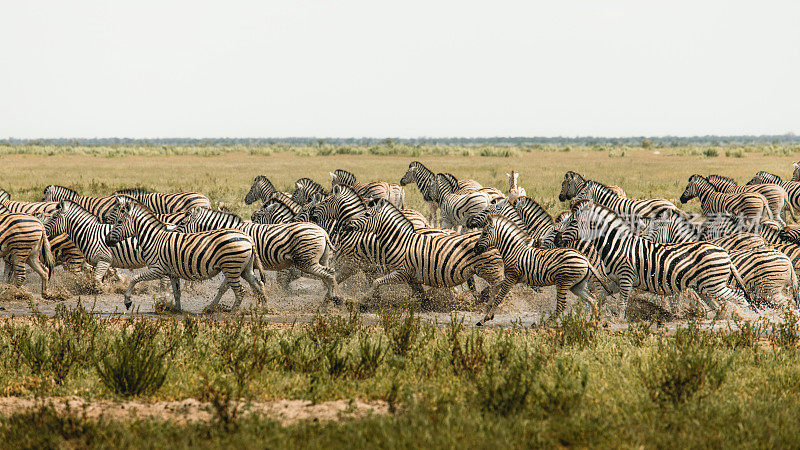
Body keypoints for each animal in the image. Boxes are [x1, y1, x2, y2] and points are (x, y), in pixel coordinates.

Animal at [103, 197, 264, 312]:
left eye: (119, 222)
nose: (106, 240)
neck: (153, 238)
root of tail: (248, 238)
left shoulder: (157, 270)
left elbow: (134, 279)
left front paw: (127, 301)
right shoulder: (172, 273)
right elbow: (177, 292)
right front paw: (177, 309)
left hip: (232, 267)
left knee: (241, 291)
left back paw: (234, 313)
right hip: (244, 269)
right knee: (258, 284)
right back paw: (264, 308)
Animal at [175, 206, 338, 300]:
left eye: (182, 223)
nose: (175, 234)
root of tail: (322, 231)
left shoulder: (233, 262)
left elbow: (224, 287)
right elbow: (228, 287)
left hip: (306, 261)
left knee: (328, 274)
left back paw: (333, 298)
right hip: (321, 259)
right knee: (328, 274)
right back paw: (330, 299)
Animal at [340, 200, 504, 306]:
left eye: (367, 214)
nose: (347, 224)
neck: (399, 241)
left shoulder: (401, 273)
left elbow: (376, 282)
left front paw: (363, 300)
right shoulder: (412, 277)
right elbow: (420, 293)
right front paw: (427, 302)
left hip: (490, 269)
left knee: (501, 284)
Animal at [472, 214, 608, 324]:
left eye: (484, 234)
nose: (475, 249)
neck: (513, 250)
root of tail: (585, 259)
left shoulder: (512, 276)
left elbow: (499, 297)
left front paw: (485, 318)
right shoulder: (513, 278)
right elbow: (495, 287)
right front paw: (488, 306)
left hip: (564, 282)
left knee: (562, 305)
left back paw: (542, 324)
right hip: (576, 285)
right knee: (592, 299)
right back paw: (594, 322)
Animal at [560, 200, 752, 320]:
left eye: (573, 222)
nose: (557, 239)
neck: (618, 245)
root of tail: (724, 253)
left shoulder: (626, 277)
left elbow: (622, 303)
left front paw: (619, 321)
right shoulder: (616, 280)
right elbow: (599, 297)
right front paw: (592, 315)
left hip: (714, 285)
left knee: (740, 297)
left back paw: (748, 317)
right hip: (704, 287)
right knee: (719, 304)